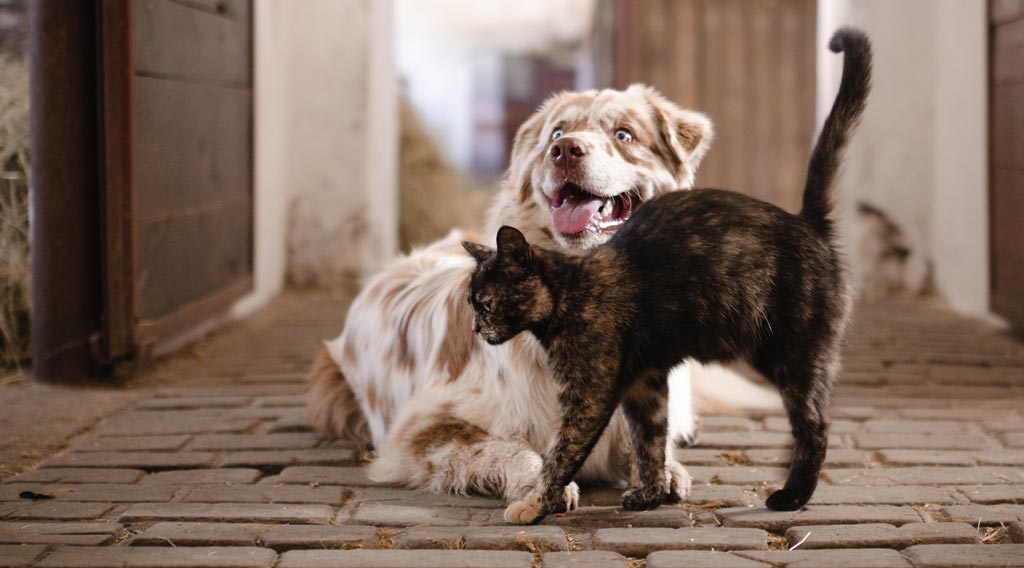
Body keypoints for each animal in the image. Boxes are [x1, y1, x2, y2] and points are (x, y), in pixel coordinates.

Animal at [307, 84, 778, 507]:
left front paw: (665, 471)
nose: (565, 150)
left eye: (624, 134)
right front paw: (541, 486)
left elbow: (644, 442)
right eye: (557, 132)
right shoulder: (421, 430)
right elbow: (510, 448)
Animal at [464, 27, 872, 523]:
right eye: (472, 304)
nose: (475, 328)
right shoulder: (646, 383)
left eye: (486, 304)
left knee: (815, 425)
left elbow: (561, 453)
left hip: (792, 354)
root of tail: (806, 222)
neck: (571, 290)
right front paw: (651, 493)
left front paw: (536, 504)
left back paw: (791, 496)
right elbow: (650, 441)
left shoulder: (590, 394)